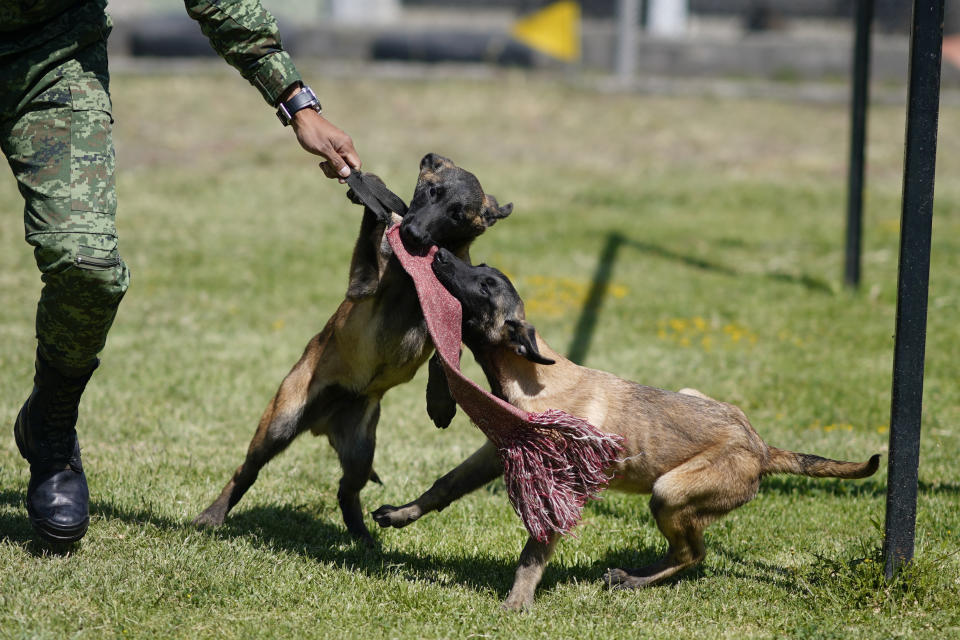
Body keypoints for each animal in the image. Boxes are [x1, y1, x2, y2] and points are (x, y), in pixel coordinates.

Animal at [190, 152, 512, 544]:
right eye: (431, 192)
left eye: (457, 214)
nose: (412, 234)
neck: (411, 278)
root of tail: (322, 423)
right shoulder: (363, 285)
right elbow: (371, 239)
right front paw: (370, 198)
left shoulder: (454, 318)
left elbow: (444, 357)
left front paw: (439, 402)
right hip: (280, 423)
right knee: (245, 471)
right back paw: (212, 515)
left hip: (361, 451)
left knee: (347, 490)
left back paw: (362, 538)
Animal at [372, 249, 880, 608]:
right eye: (480, 269)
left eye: (484, 284)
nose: (437, 252)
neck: (533, 376)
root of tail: (760, 447)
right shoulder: (500, 451)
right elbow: (446, 484)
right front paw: (401, 514)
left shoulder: (559, 485)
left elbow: (534, 552)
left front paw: (516, 604)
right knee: (687, 553)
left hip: (670, 491)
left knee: (693, 554)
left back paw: (634, 581)